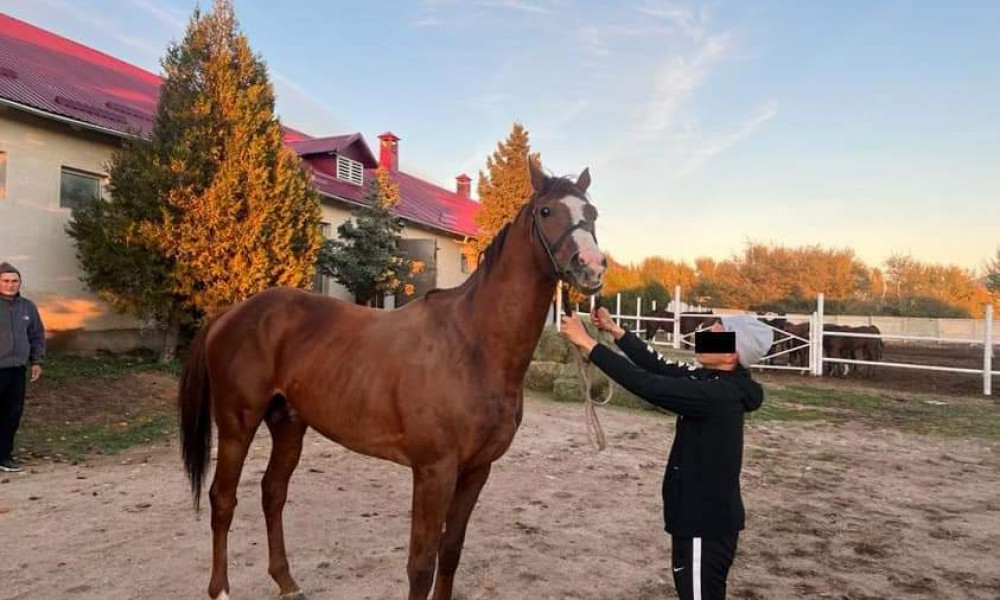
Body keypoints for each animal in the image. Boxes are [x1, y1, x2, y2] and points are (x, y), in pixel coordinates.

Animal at [178, 162, 608, 600]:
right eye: (546, 211)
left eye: (592, 214)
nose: (591, 266)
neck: (473, 343)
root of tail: (232, 313)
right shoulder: (433, 472)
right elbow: (421, 564)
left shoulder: (476, 470)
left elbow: (450, 552)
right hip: (237, 425)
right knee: (223, 499)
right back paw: (221, 589)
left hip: (288, 424)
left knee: (273, 493)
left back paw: (286, 581)